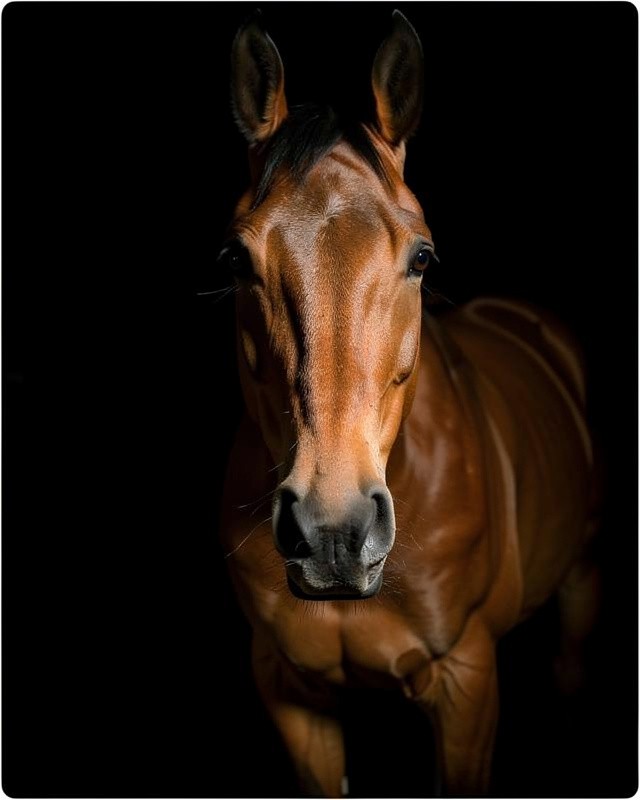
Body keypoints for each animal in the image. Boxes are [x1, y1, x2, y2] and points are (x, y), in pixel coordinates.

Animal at [220, 11, 598, 796]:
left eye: (422, 256)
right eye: (237, 259)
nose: (332, 531)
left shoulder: (465, 680)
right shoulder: (290, 694)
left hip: (581, 580)